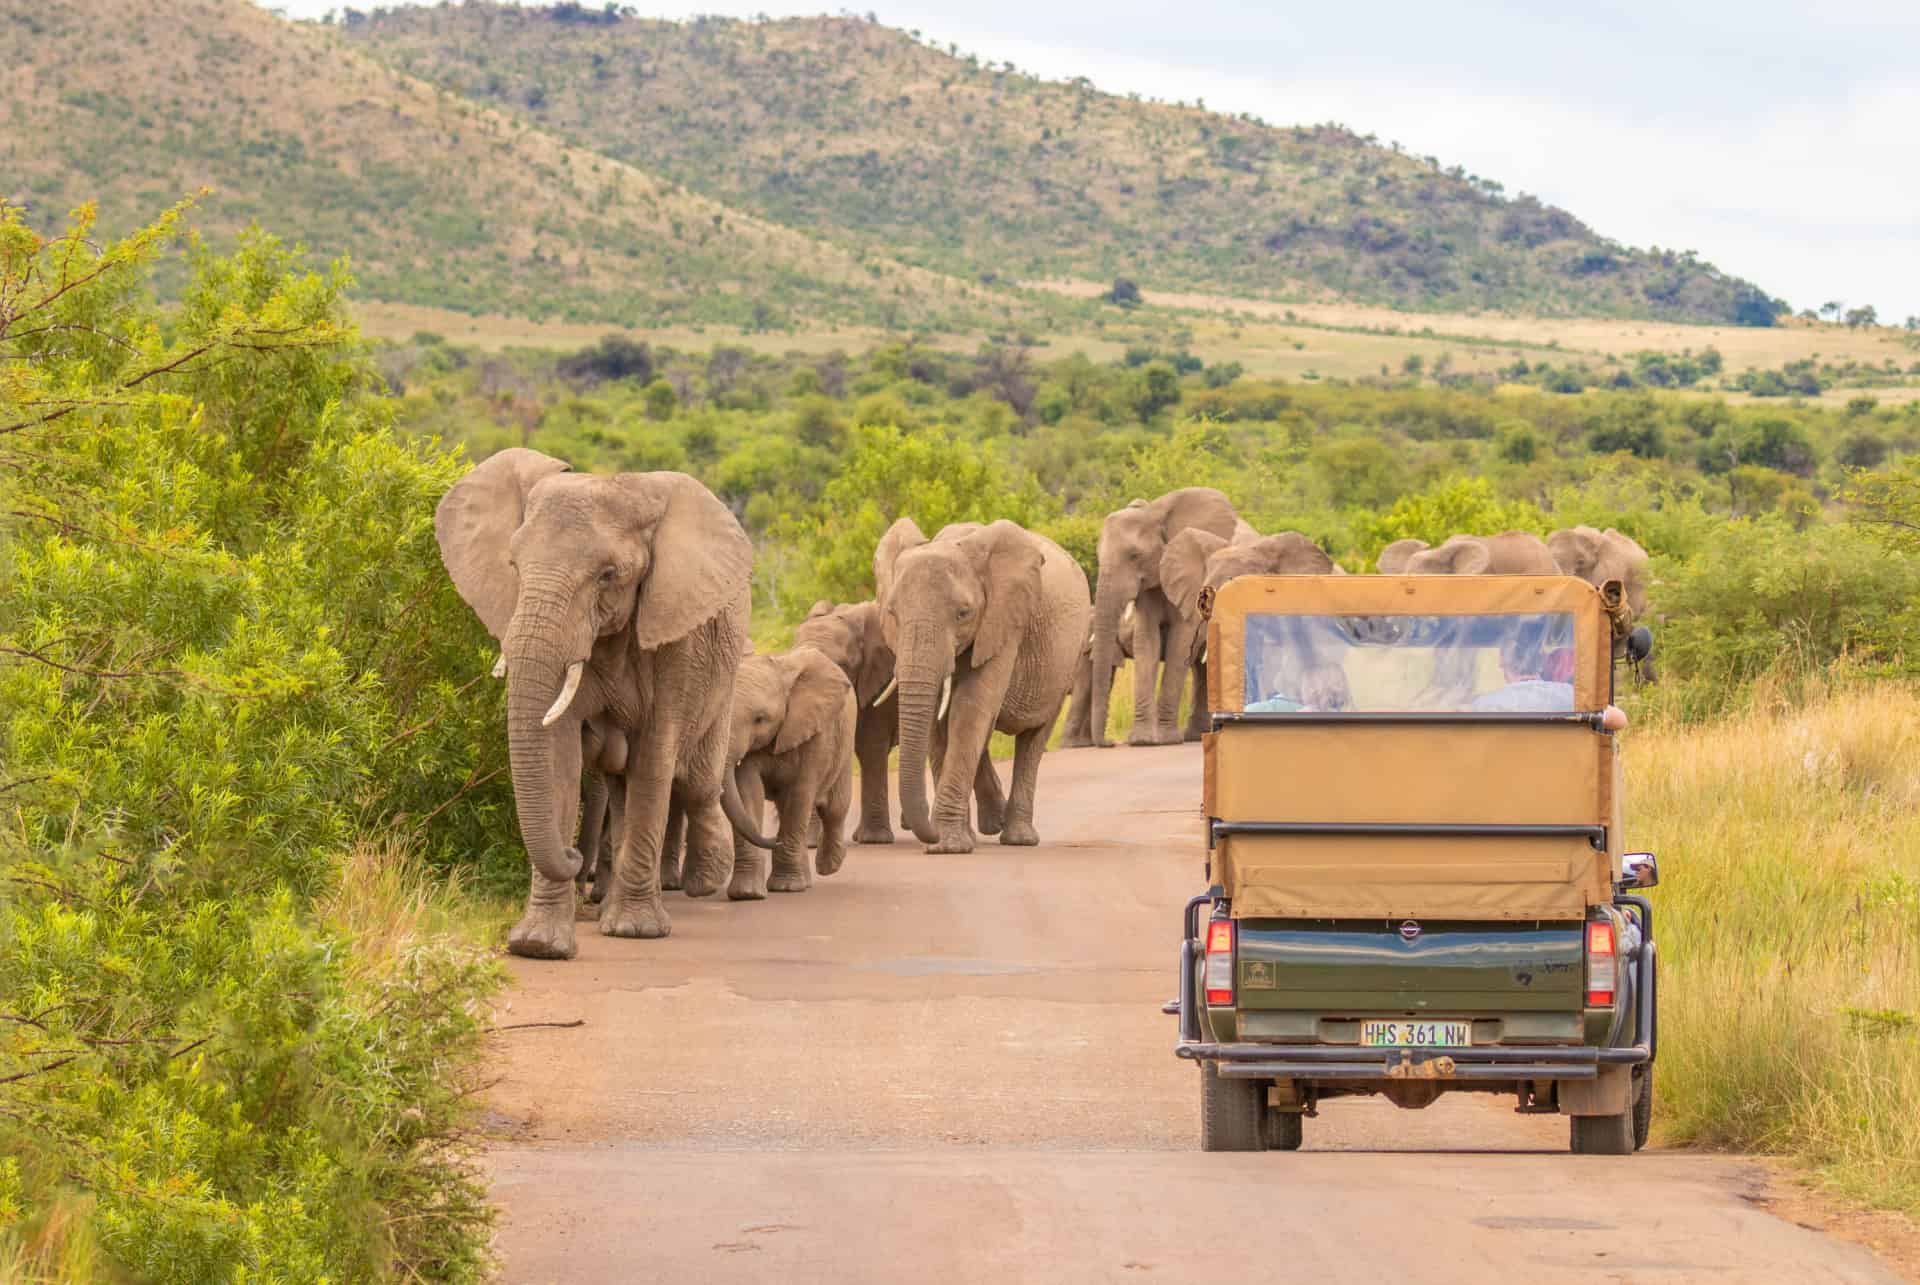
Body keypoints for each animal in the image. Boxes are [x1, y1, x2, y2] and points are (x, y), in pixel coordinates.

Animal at [432, 445, 768, 956]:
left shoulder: (676, 641)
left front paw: (635, 930)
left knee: (696, 782)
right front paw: (539, 945)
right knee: (623, 784)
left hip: (725, 674)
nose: (573, 855)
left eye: (609, 575)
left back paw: (705, 879)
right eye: (513, 566)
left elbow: (655, 757)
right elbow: (561, 758)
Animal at [725, 645, 856, 898]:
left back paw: (828, 866)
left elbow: (801, 793)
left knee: (834, 809)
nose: (773, 840)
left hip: (844, 745)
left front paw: (786, 888)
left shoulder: (817, 733)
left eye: (760, 719)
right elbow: (747, 791)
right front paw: (747, 894)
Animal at [875, 510, 1090, 852]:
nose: (920, 829)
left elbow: (970, 708)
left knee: (1034, 737)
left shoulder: (1005, 622)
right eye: (892, 613)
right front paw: (949, 842)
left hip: (1068, 658)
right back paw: (993, 823)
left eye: (963, 613)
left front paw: (947, 845)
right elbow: (940, 721)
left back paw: (1018, 837)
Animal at [1067, 491, 1244, 752]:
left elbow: (1178, 645)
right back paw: (1195, 735)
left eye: (1134, 556)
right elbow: (1146, 641)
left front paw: (1167, 739)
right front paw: (1142, 741)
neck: (1154, 513)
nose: (1110, 742)